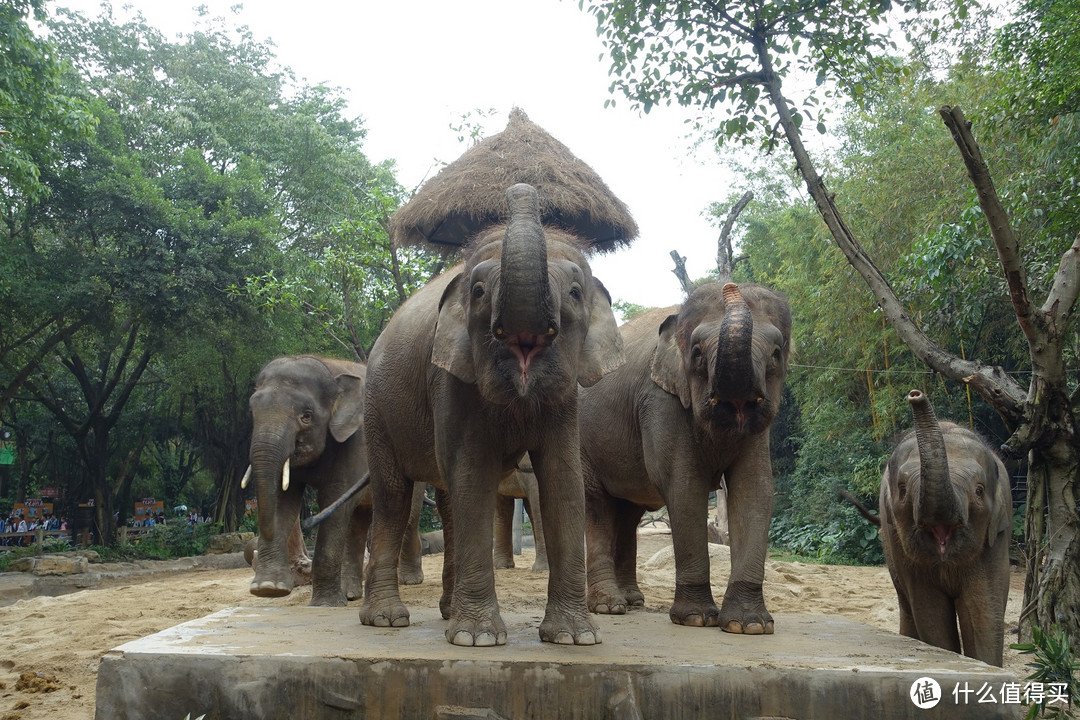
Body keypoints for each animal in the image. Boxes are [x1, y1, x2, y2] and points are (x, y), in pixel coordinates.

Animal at [245, 358, 425, 604]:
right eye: (252, 411)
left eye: (306, 416)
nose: (308, 521)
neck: (329, 369)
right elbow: (283, 500)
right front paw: (269, 589)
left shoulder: (356, 440)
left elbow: (334, 499)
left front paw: (325, 604)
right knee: (358, 521)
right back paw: (351, 594)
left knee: (407, 516)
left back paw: (411, 581)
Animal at [360, 184, 626, 647]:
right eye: (480, 292)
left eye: (576, 292)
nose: (520, 187)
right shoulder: (449, 375)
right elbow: (472, 472)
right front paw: (478, 639)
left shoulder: (566, 399)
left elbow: (563, 479)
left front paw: (574, 638)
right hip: (376, 407)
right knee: (393, 496)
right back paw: (385, 619)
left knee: (446, 500)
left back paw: (446, 612)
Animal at [583, 280, 794, 634]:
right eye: (696, 353)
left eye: (776, 354)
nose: (730, 284)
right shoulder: (660, 399)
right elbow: (684, 486)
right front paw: (696, 619)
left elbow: (754, 489)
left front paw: (749, 626)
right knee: (597, 507)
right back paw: (609, 607)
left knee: (628, 513)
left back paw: (633, 601)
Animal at [876, 390, 1010, 669]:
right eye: (902, 490)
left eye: (979, 490)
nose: (915, 395)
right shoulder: (906, 556)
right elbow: (931, 612)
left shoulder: (995, 541)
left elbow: (984, 613)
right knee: (908, 606)